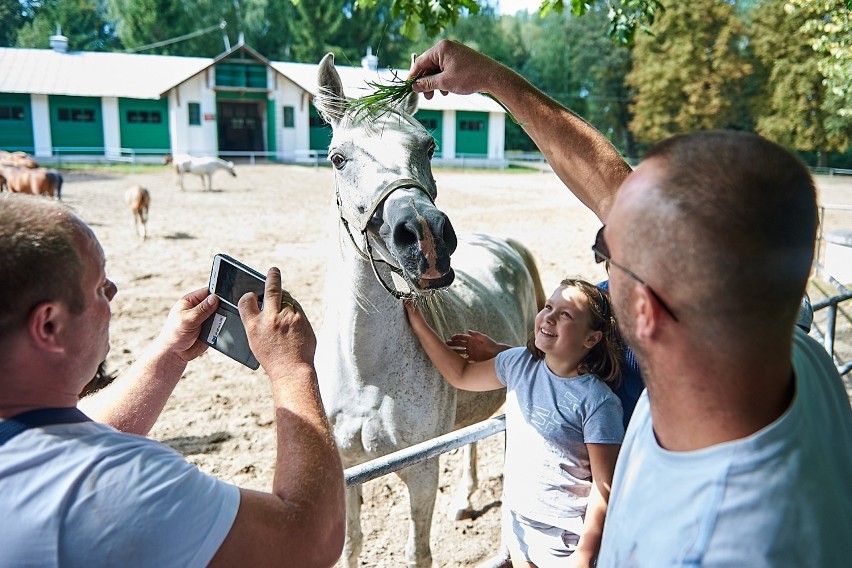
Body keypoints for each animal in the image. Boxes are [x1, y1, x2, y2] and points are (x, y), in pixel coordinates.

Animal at [312, 54, 544, 568]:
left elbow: (418, 551)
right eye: (338, 157)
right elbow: (352, 544)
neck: (366, 373)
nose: (425, 236)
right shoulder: (347, 472)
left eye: (429, 145)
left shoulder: (421, 471)